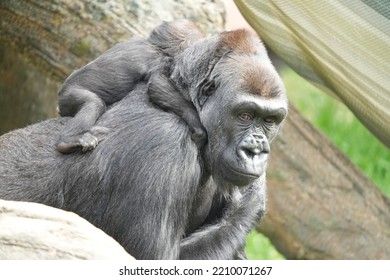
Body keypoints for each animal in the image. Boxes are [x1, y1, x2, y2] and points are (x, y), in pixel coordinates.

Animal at [57, 20, 207, 153]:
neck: (155, 45)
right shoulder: (160, 60)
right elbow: (157, 84)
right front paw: (197, 125)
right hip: (68, 96)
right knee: (93, 103)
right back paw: (67, 141)